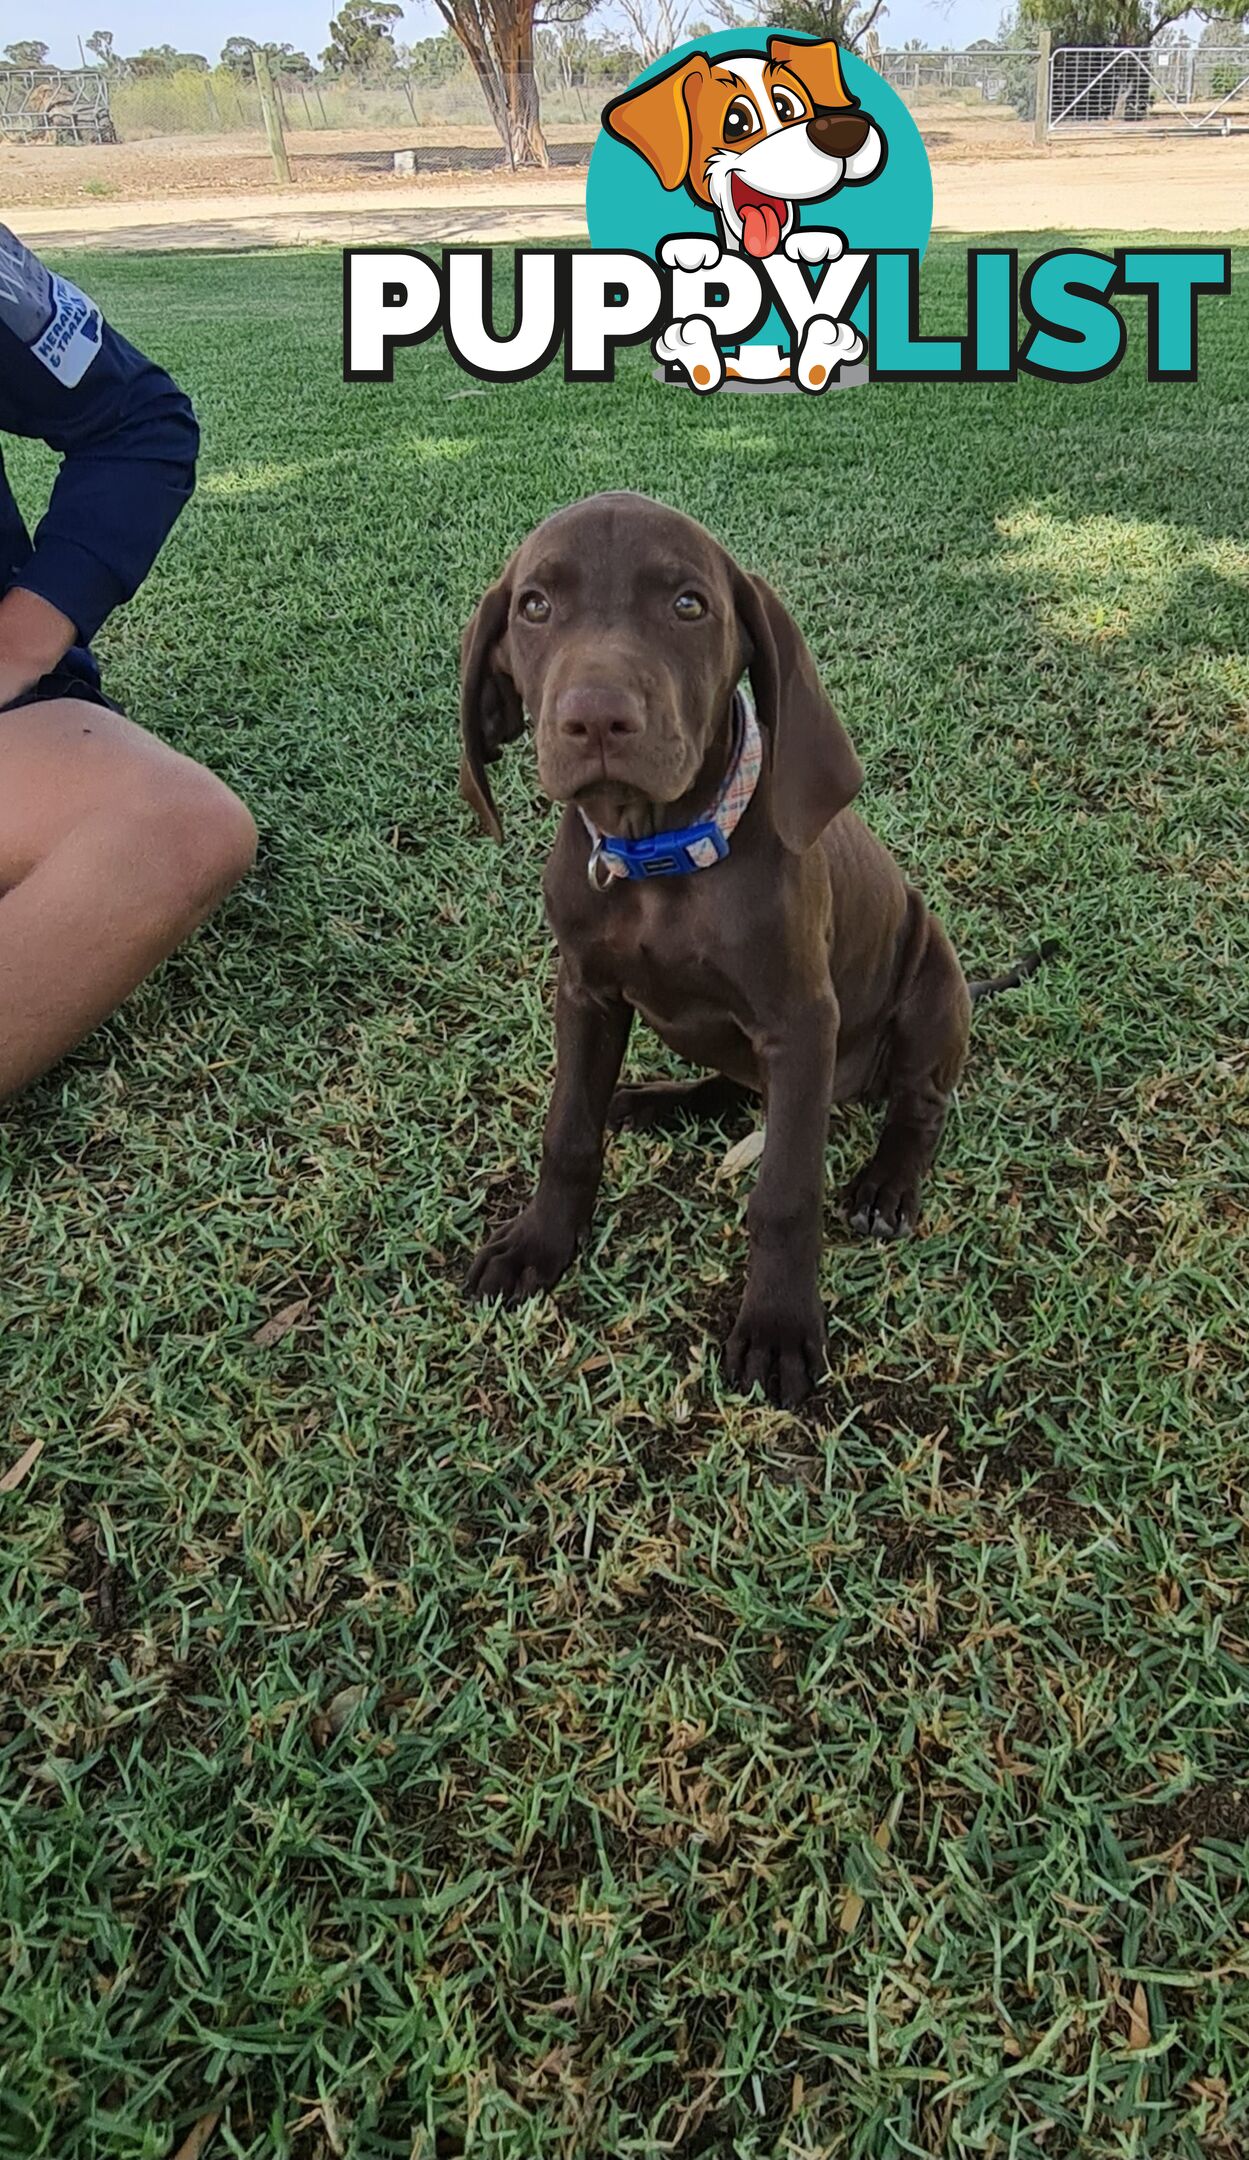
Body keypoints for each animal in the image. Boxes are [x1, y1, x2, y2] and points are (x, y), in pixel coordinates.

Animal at [462, 494, 968, 1408]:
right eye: (534, 606)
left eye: (688, 605)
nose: (595, 718)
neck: (658, 856)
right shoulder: (584, 992)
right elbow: (567, 1134)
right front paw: (538, 1244)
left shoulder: (800, 1023)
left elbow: (785, 1194)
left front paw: (776, 1326)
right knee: (734, 1088)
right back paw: (655, 1101)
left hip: (929, 982)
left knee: (920, 1103)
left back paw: (885, 1182)